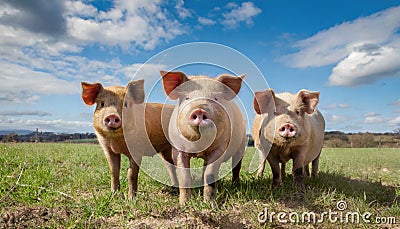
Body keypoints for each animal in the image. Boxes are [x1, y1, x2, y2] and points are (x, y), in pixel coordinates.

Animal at [161, 70, 248, 206]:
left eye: (215, 98)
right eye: (187, 98)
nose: (200, 110)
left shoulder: (220, 147)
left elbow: (210, 174)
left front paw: (210, 205)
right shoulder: (178, 149)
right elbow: (184, 177)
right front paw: (184, 204)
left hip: (241, 145)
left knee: (236, 166)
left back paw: (235, 185)